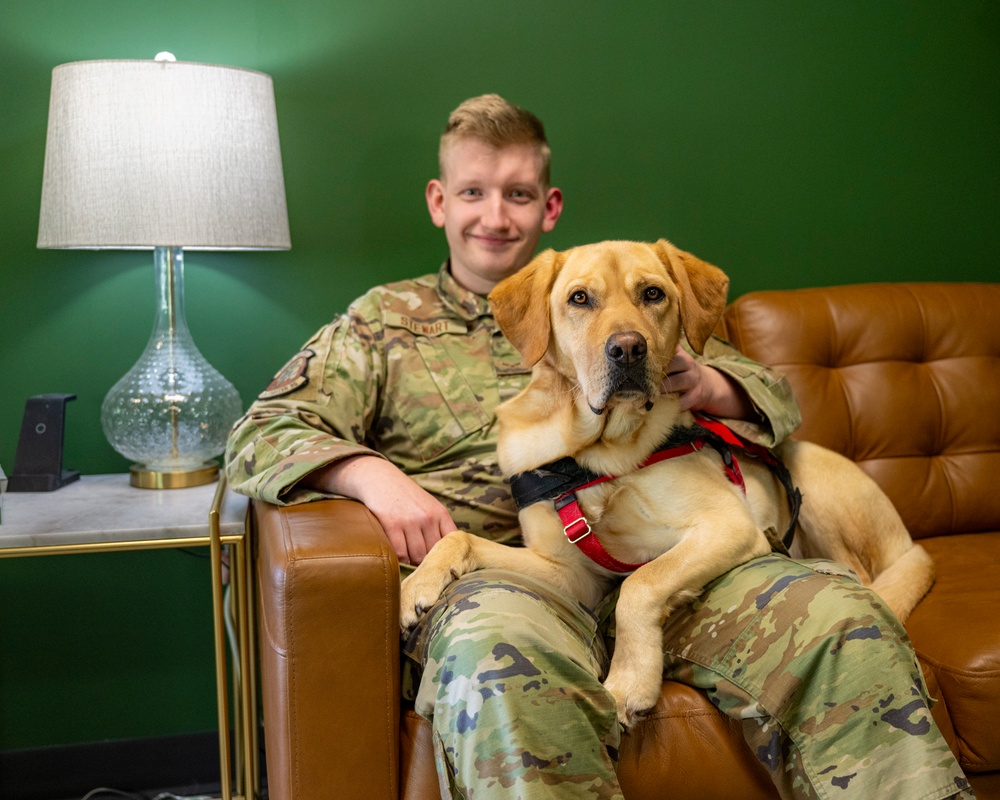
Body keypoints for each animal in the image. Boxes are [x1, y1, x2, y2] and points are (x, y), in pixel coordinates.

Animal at [400, 238, 936, 724]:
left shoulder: (726, 525)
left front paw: (628, 682)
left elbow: (640, 583)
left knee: (864, 572)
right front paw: (416, 587)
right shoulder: (571, 574)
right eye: (579, 298)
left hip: (816, 485)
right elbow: (460, 538)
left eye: (653, 293)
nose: (627, 349)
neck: (600, 454)